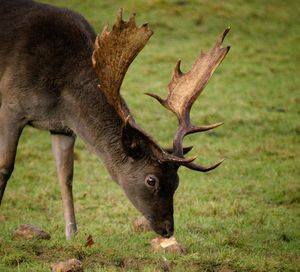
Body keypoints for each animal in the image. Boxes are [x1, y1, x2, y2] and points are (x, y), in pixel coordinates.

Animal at [0, 1, 230, 240]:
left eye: (176, 182)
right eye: (151, 180)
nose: (167, 230)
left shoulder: (62, 127)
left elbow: (66, 177)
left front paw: (72, 234)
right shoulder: (11, 106)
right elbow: (5, 167)